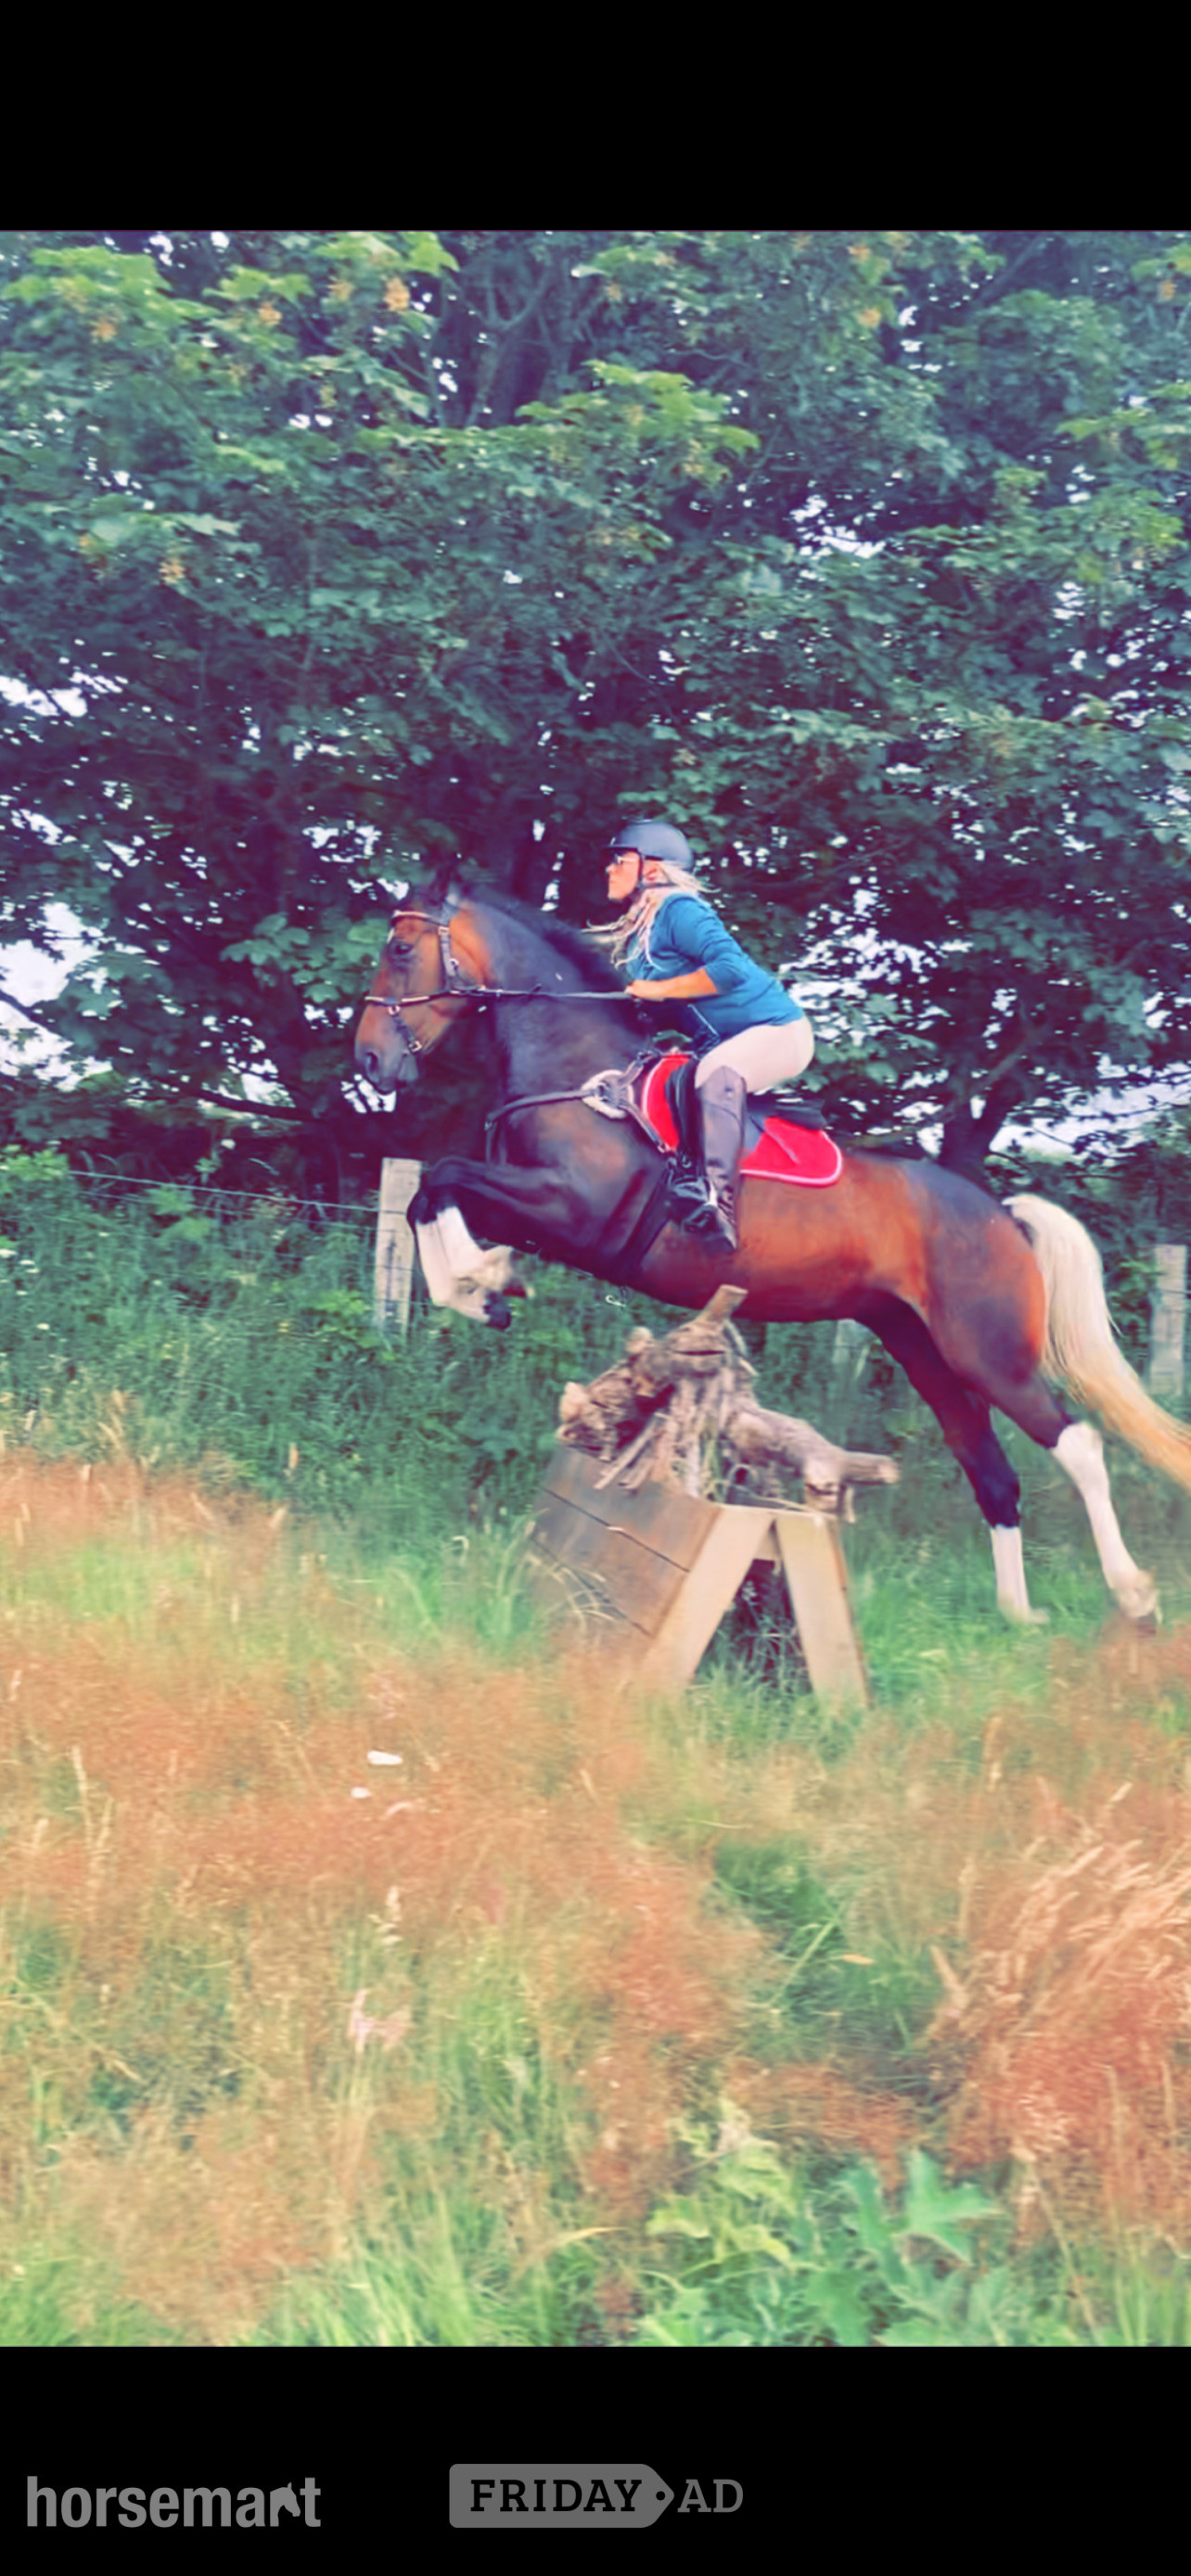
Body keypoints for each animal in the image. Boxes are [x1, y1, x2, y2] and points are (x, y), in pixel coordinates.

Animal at [355, 872, 1191, 1629]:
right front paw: (481, 1291)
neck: (581, 1072)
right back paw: (1016, 1614)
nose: (368, 1063)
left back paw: (1133, 1594)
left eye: (400, 949)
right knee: (988, 1466)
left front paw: (480, 1283)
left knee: (1076, 1444)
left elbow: (442, 1177)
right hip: (922, 1348)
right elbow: (434, 1190)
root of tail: (1003, 1218)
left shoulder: (571, 1209)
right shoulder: (537, 1208)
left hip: (986, 1352)